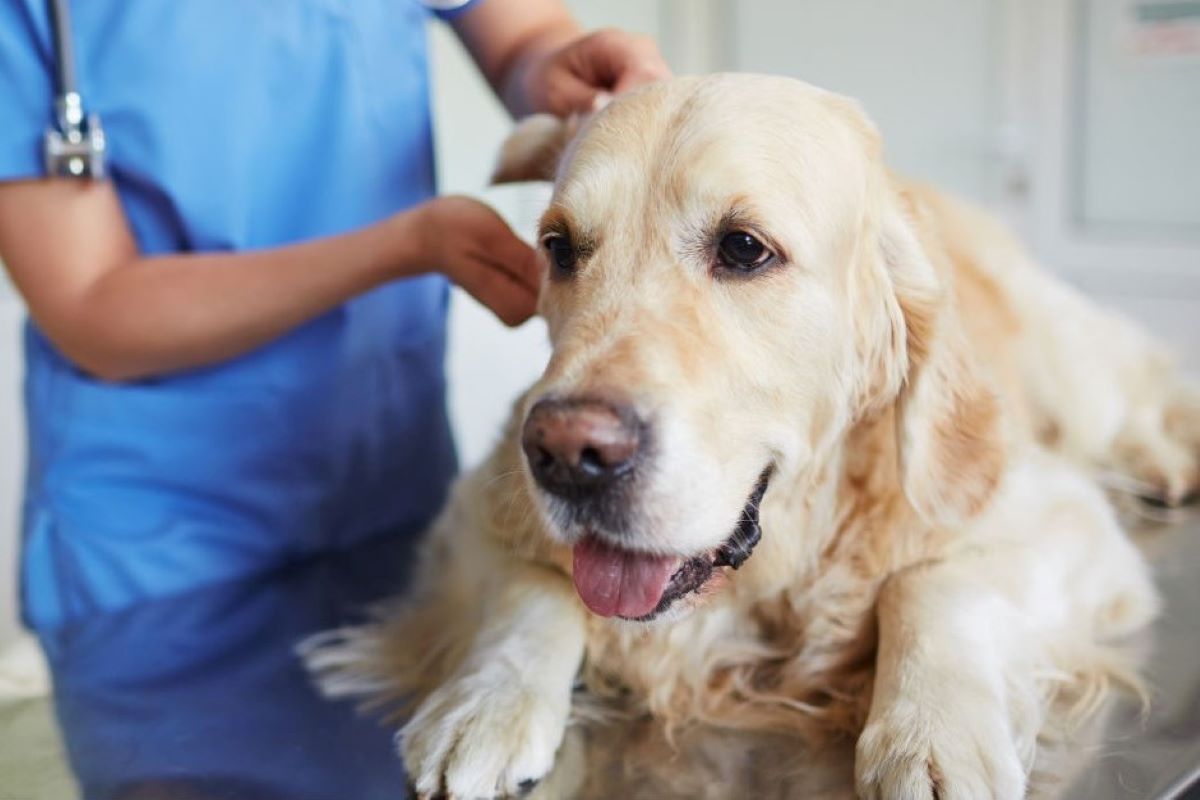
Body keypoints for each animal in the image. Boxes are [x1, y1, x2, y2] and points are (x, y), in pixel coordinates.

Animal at [302, 71, 1200, 796]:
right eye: (558, 247)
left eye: (743, 248)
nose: (566, 455)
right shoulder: (473, 507)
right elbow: (534, 589)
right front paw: (485, 703)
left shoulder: (1058, 518)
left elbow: (931, 584)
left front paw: (931, 736)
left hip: (1074, 374)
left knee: (1141, 387)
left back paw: (1168, 458)